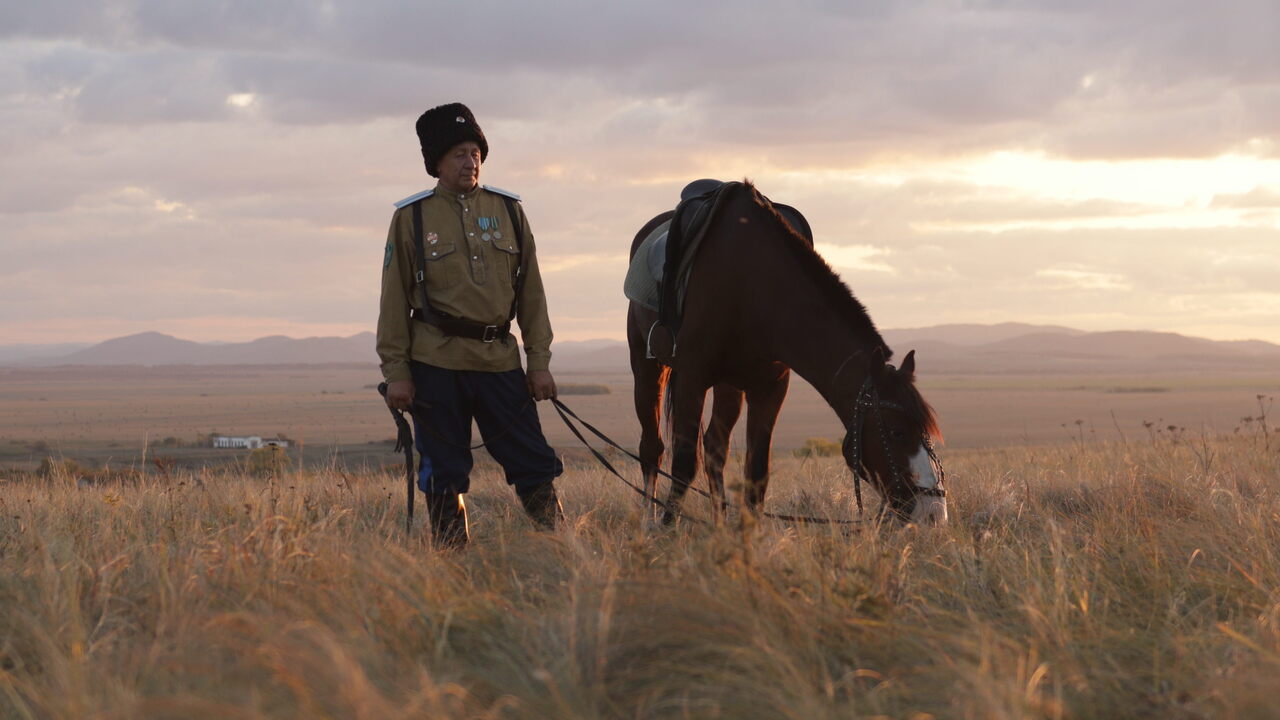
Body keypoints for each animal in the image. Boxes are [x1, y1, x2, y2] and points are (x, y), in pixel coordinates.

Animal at [624, 181, 947, 525]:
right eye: (897, 432)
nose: (933, 511)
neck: (751, 284)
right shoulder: (691, 378)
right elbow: (684, 465)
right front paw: (667, 529)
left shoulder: (770, 388)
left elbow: (756, 474)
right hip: (647, 367)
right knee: (653, 448)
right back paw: (649, 520)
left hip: (729, 385)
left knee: (715, 449)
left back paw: (719, 523)